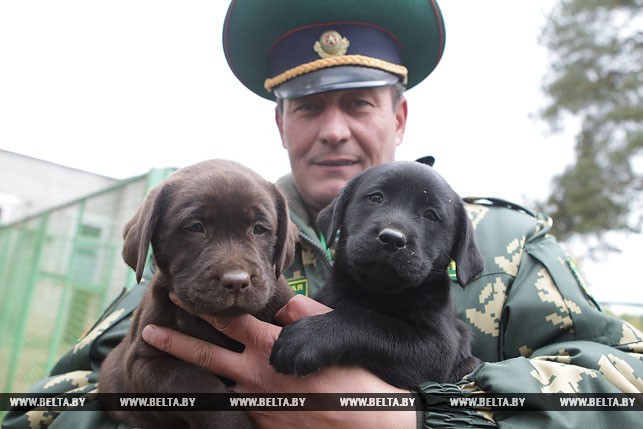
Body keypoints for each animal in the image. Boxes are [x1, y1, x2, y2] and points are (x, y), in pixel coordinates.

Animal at [270, 160, 484, 388]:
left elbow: (370, 322)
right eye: (376, 198)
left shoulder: (438, 349)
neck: (374, 292)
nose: (392, 238)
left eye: (431, 215)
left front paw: (307, 336)